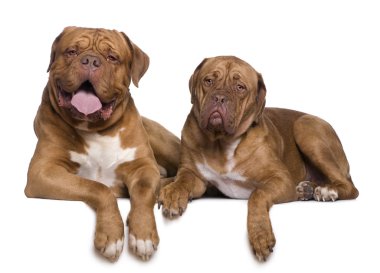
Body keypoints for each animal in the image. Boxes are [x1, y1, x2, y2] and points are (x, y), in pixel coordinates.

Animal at [24, 26, 180, 260]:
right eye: (71, 51)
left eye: (112, 57)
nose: (90, 60)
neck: (96, 130)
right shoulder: (43, 172)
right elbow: (98, 187)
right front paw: (111, 234)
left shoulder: (142, 167)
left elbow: (143, 192)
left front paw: (143, 235)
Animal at [157, 54, 360, 260]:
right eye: (208, 81)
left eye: (240, 88)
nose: (219, 97)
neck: (221, 142)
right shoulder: (194, 175)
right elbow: (182, 181)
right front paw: (173, 194)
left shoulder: (280, 179)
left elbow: (257, 195)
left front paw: (260, 234)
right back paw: (307, 189)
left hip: (306, 127)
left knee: (351, 188)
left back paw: (327, 191)